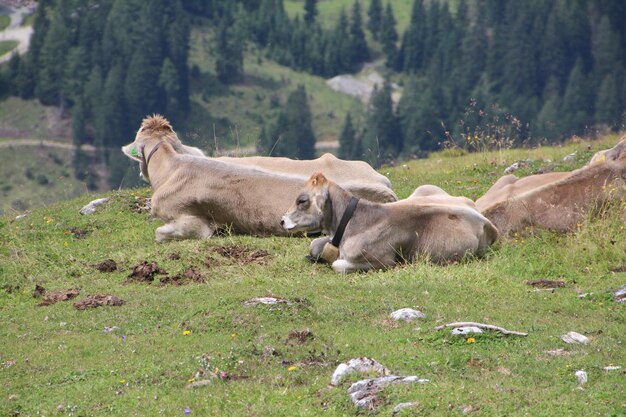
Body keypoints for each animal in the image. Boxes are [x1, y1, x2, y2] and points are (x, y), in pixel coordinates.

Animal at [280, 172, 494, 272]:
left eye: (302, 201)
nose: (281, 220)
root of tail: (485, 220)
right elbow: (315, 244)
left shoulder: (382, 261)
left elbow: (337, 264)